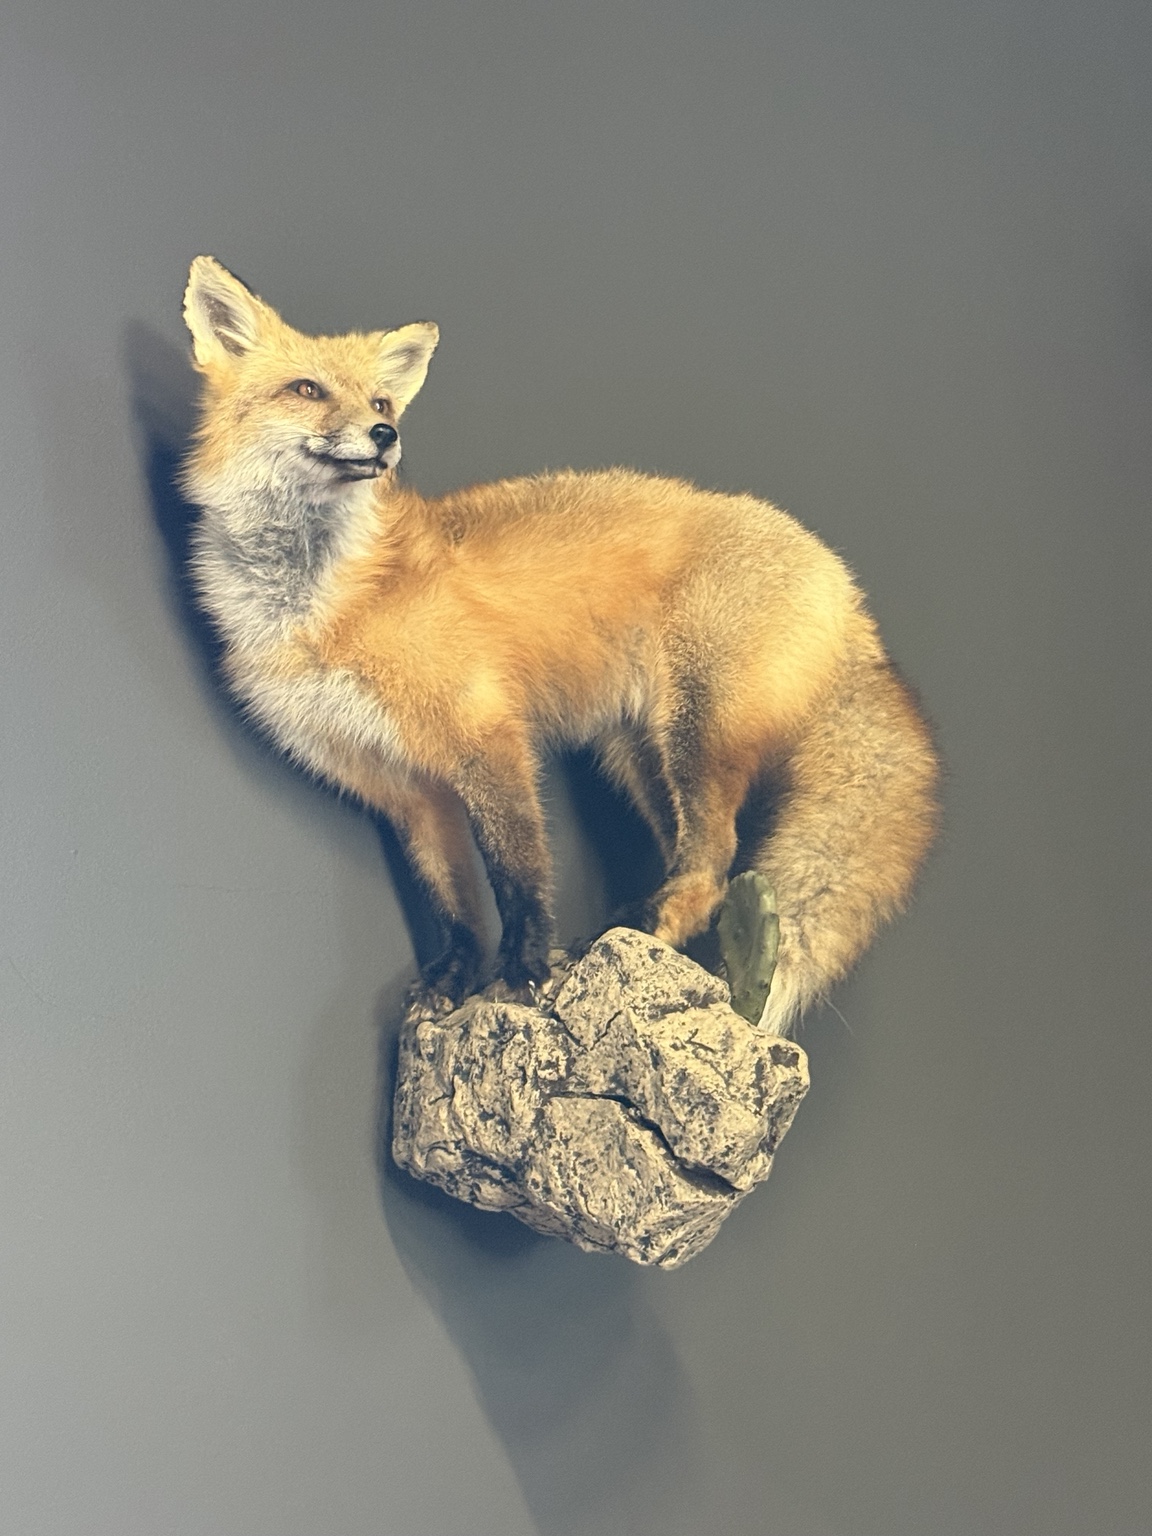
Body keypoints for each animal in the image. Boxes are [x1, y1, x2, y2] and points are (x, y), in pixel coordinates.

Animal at [179, 255, 939, 1033]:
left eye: (381, 401)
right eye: (307, 389)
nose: (384, 436)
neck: (318, 603)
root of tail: (846, 586)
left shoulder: (486, 732)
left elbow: (517, 873)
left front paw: (521, 971)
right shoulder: (403, 784)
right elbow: (453, 897)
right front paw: (456, 976)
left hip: (696, 736)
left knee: (714, 865)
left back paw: (639, 928)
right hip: (639, 755)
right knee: (707, 868)